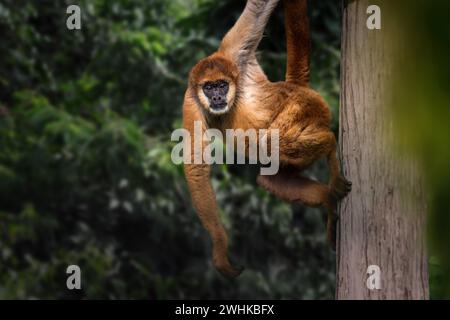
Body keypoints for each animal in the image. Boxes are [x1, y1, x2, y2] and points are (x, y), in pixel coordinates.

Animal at [181, 0, 350, 278]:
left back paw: (329, 142)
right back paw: (328, 197)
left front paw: (220, 248)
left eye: (221, 85)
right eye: (208, 87)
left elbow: (258, 8)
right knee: (269, 177)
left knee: (271, 141)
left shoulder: (233, 53)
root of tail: (297, 87)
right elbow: (195, 164)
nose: (216, 97)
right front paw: (220, 244)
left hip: (306, 106)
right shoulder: (192, 100)